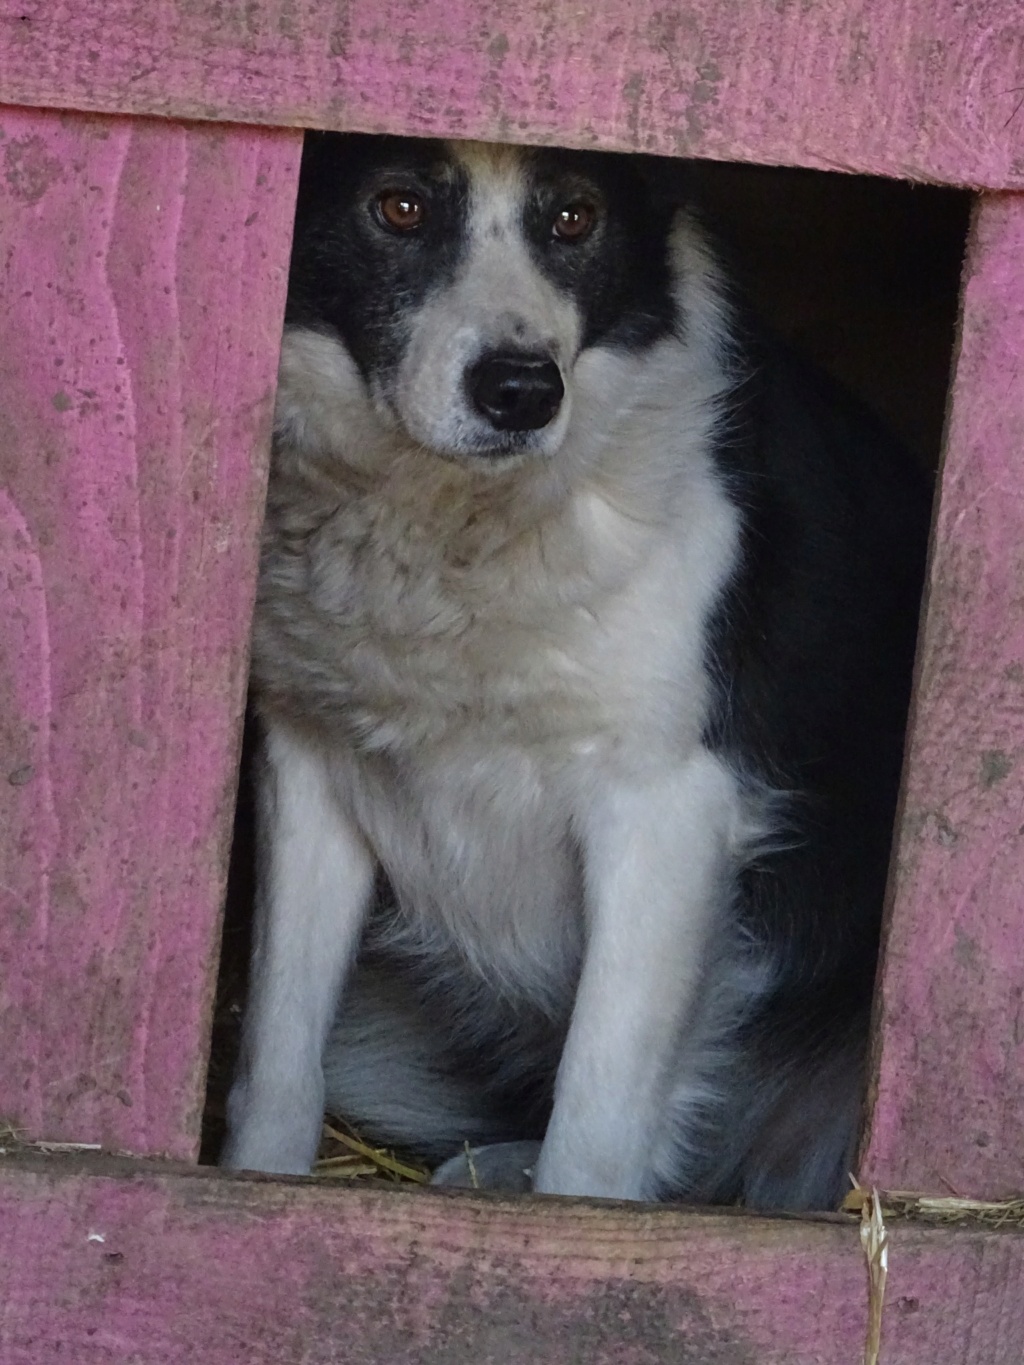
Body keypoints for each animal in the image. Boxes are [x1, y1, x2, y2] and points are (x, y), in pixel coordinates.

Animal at [222, 135, 928, 1206]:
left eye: (574, 218)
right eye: (399, 206)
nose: (522, 392)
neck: (459, 535)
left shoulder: (665, 809)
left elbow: (595, 1131)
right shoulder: (307, 765)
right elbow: (277, 1052)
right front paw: (250, 1190)